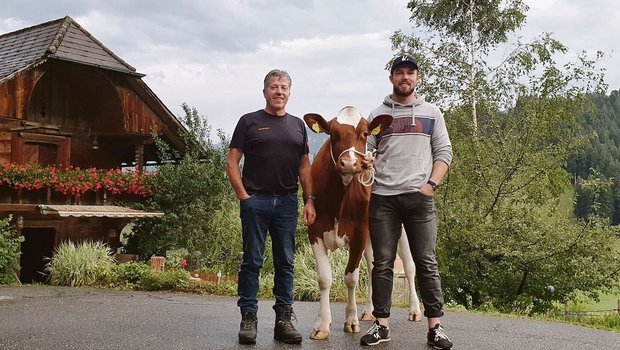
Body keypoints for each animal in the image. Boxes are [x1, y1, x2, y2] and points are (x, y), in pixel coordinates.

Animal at [304, 107, 424, 342]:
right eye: (333, 134)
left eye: (365, 134)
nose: (350, 163)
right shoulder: (314, 230)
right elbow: (324, 278)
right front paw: (322, 325)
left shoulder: (359, 232)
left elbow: (351, 277)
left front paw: (350, 321)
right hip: (374, 234)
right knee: (372, 267)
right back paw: (370, 312)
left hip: (401, 230)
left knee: (410, 266)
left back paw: (415, 310)